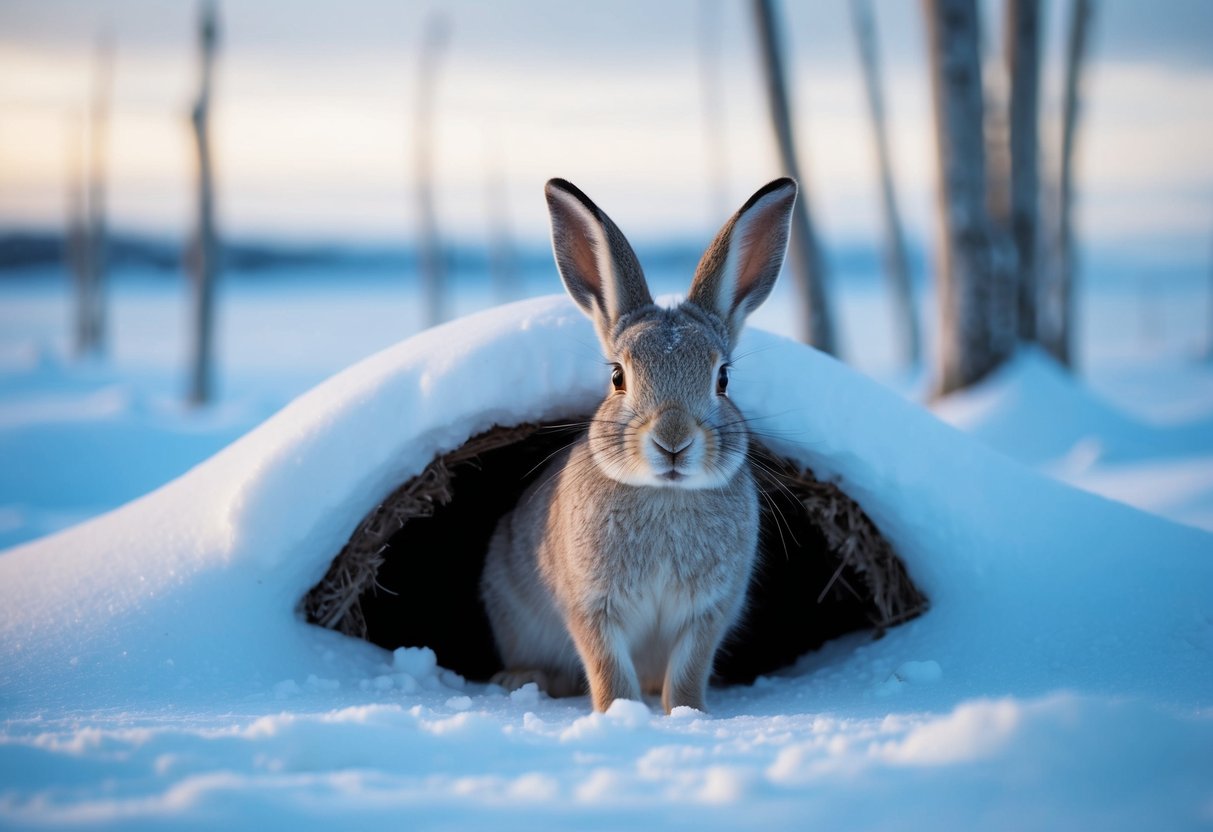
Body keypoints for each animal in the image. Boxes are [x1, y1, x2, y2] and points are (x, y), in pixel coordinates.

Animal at [479, 177, 798, 714]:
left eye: (723, 379)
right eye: (617, 377)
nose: (673, 441)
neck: (665, 493)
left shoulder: (708, 611)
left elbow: (689, 668)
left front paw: (688, 714)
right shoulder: (591, 605)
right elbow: (607, 666)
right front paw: (618, 713)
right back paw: (521, 679)